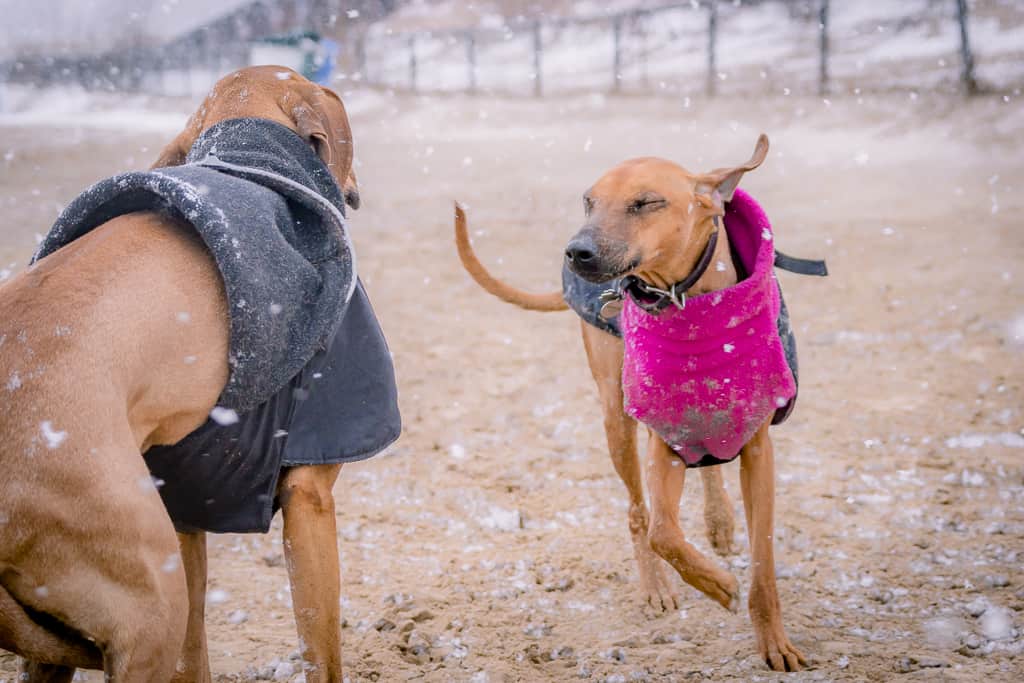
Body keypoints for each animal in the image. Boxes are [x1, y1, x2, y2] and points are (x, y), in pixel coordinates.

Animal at [456, 135, 806, 671]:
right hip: (615, 417)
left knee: (708, 467)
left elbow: (763, 560)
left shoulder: (758, 449)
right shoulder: (664, 444)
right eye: (588, 201)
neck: (689, 305)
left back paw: (720, 520)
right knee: (639, 512)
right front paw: (716, 584)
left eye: (645, 203)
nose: (575, 251)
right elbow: (663, 531)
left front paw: (773, 641)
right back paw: (656, 584)